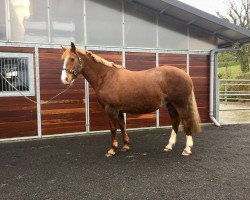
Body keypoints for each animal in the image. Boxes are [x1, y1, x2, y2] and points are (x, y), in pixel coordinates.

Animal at [60, 43, 201, 157]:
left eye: (72, 59)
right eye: (63, 59)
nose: (64, 79)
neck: (106, 77)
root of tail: (185, 74)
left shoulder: (111, 109)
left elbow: (113, 128)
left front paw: (112, 149)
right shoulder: (119, 110)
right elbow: (122, 126)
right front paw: (126, 146)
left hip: (180, 104)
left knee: (186, 122)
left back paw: (187, 149)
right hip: (170, 104)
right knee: (175, 122)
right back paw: (169, 146)